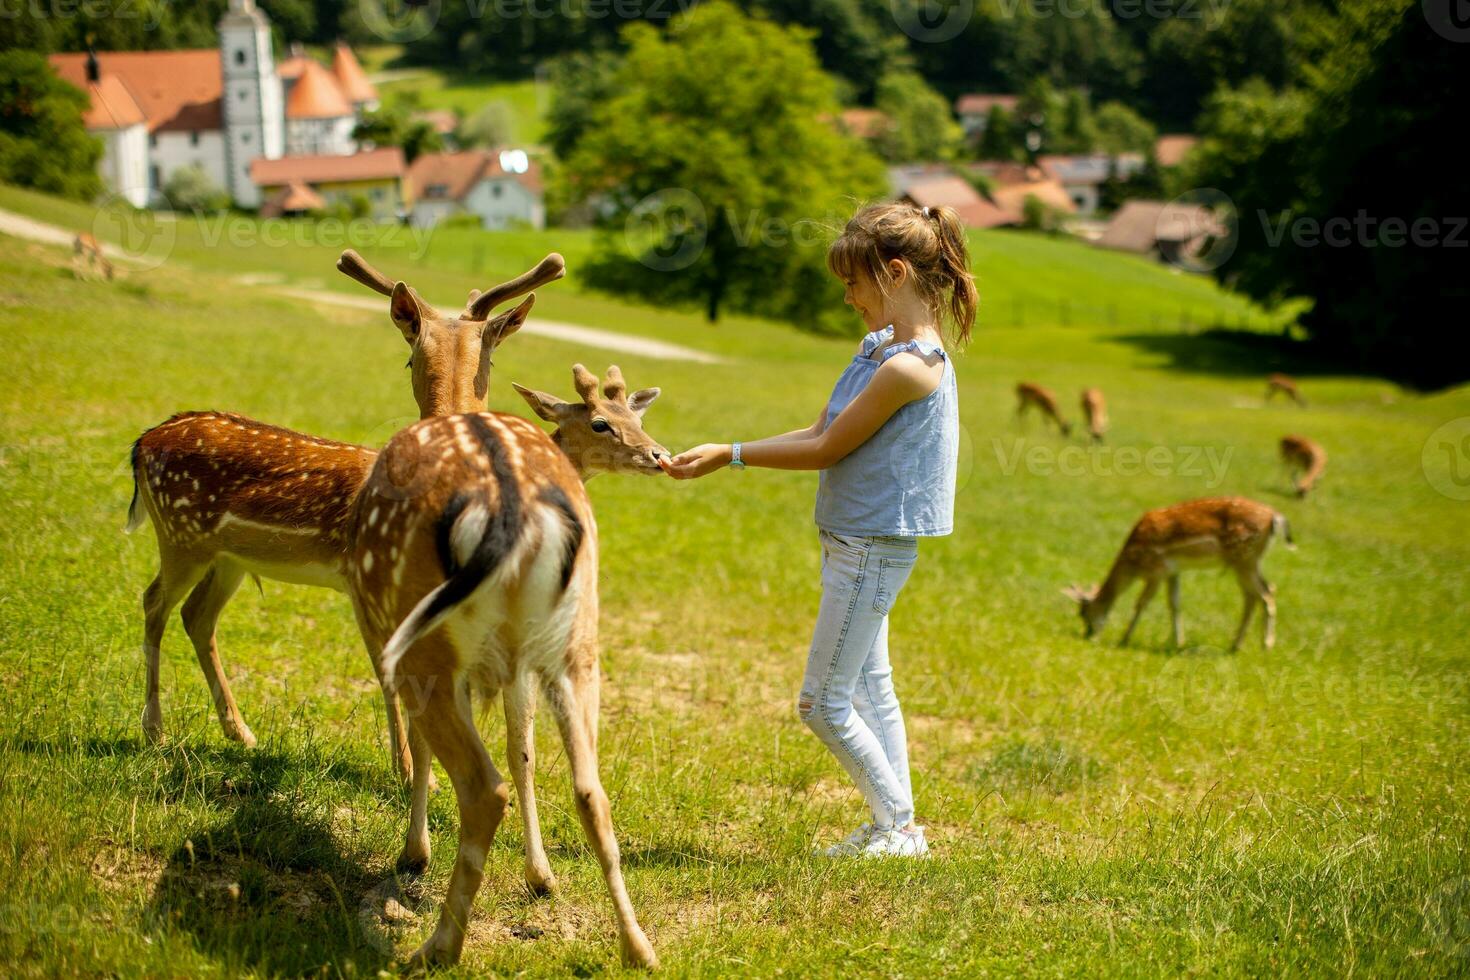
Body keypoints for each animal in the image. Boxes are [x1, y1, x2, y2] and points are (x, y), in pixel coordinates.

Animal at [127, 249, 561, 787]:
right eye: (412, 356)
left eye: (490, 358)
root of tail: (143, 442)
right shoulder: (364, 585)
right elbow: (390, 672)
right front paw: (411, 772)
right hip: (180, 534)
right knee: (154, 603)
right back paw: (155, 730)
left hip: (226, 557)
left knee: (196, 616)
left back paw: (240, 732)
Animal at [343, 364, 667, 969]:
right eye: (602, 421)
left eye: (637, 416)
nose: (658, 454)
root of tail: (515, 514)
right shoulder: (521, 666)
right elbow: (525, 753)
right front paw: (541, 877)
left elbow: (435, 751)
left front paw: (413, 854)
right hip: (577, 643)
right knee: (592, 790)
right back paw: (640, 950)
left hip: (425, 639)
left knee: (483, 788)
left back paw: (436, 948)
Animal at [1064, 499, 1293, 652]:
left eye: (1083, 613)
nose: (1088, 634)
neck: (1133, 563)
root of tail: (1276, 517)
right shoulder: (1172, 572)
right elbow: (1174, 603)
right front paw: (1177, 643)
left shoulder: (1156, 569)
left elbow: (1141, 603)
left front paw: (1124, 639)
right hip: (1249, 560)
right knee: (1260, 592)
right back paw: (1235, 644)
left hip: (1245, 557)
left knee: (1264, 595)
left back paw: (1265, 645)